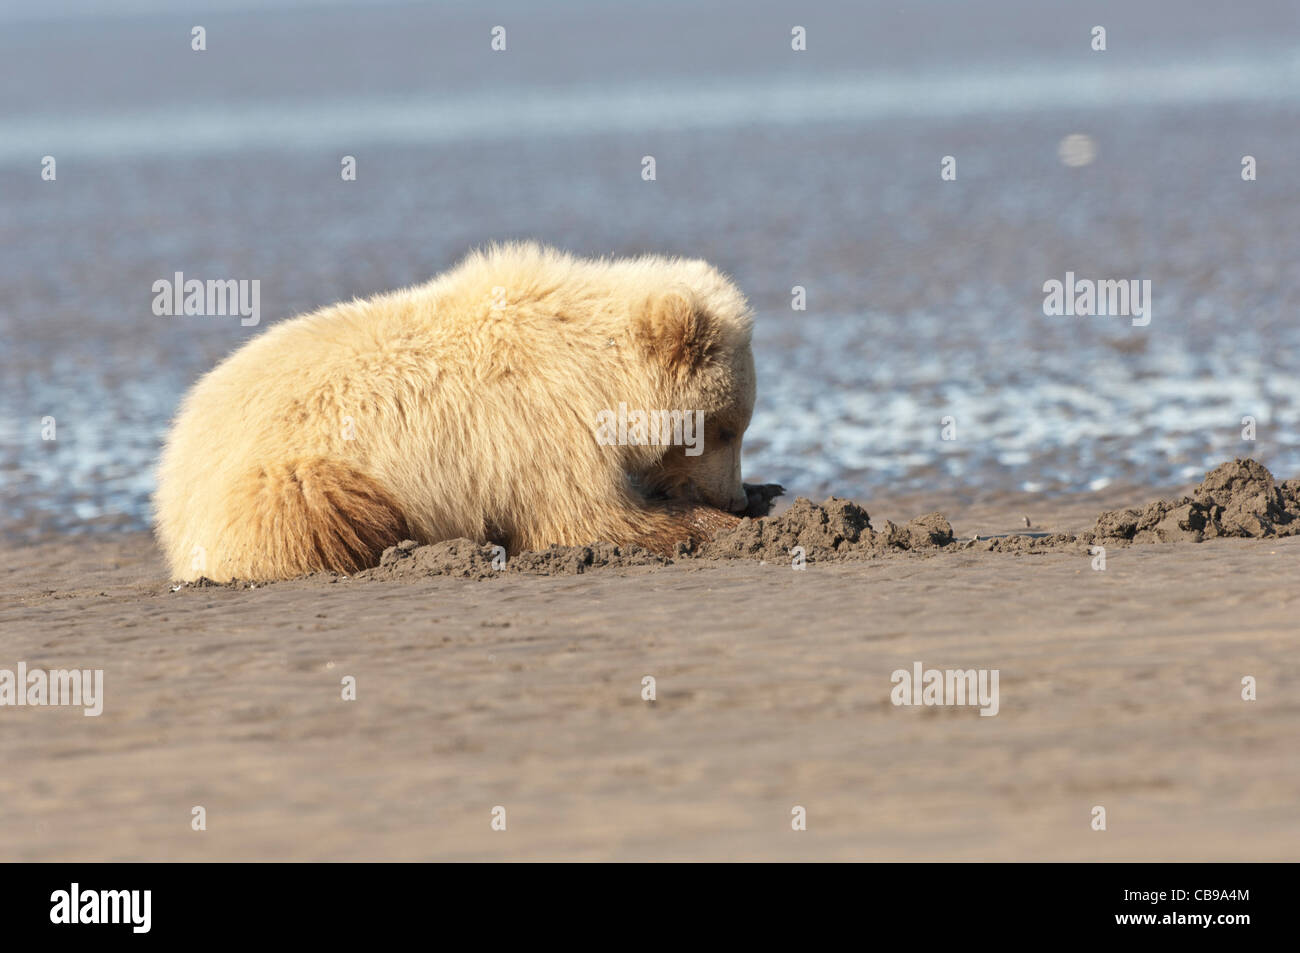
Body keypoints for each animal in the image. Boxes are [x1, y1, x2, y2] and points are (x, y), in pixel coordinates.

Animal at [154, 242, 759, 581]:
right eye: (722, 429)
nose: (733, 495)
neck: (599, 371)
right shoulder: (544, 426)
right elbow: (589, 522)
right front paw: (719, 526)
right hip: (286, 481)